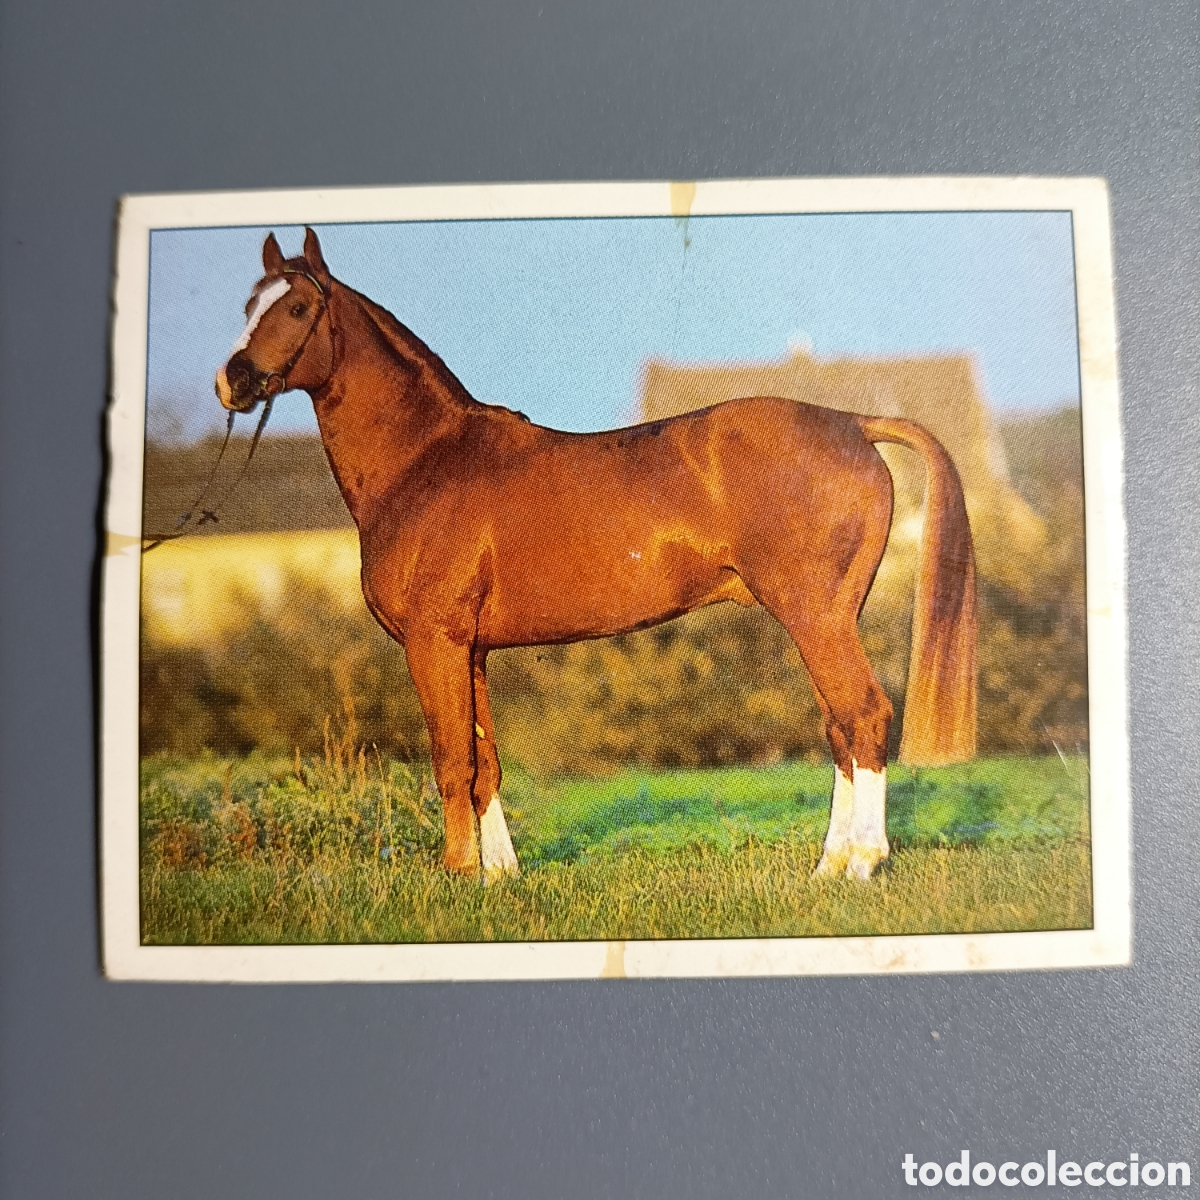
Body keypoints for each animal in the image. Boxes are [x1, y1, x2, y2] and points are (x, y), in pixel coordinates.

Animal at [214, 227, 977, 882]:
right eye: (247, 305)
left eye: (299, 307)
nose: (234, 382)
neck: (424, 461)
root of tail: (851, 423)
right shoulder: (472, 650)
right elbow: (486, 763)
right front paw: (500, 876)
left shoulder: (434, 644)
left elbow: (451, 760)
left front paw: (457, 875)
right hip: (825, 619)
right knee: (840, 728)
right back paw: (827, 867)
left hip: (815, 616)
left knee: (864, 716)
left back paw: (863, 861)